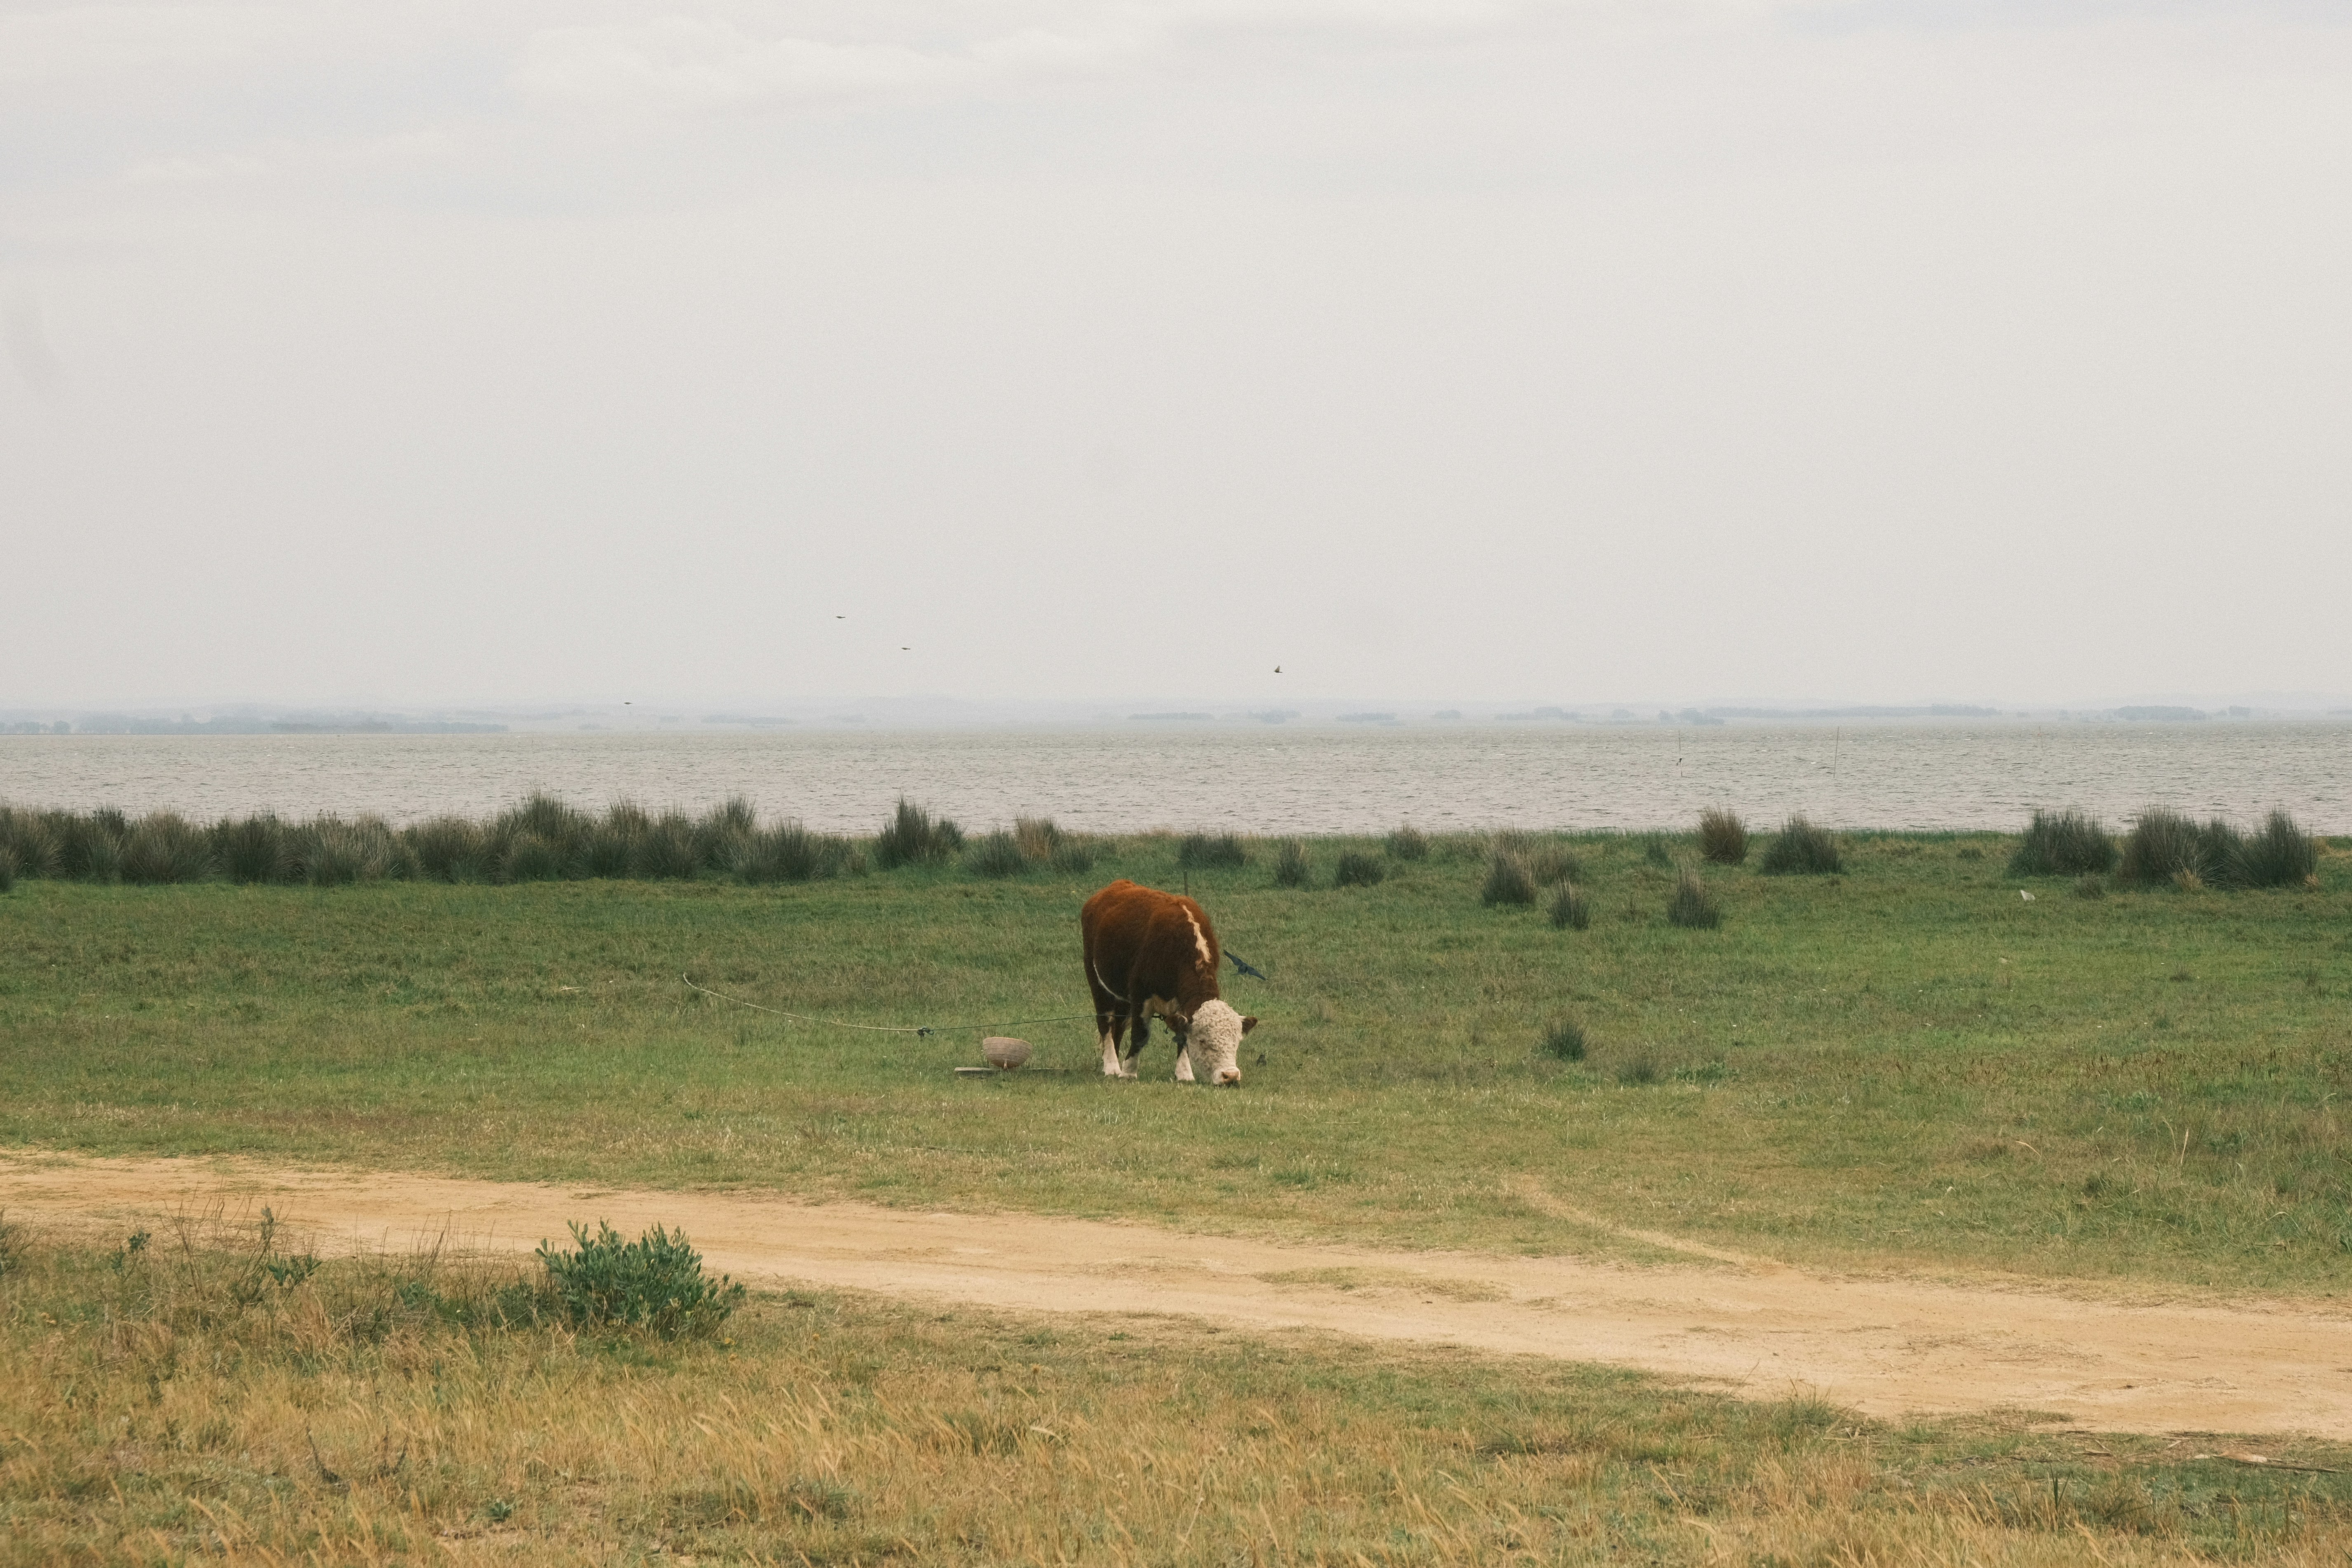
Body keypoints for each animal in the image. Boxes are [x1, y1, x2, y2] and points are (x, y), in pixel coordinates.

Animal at [1081, 879, 1257, 1085]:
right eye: (1203, 1041)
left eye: (1237, 1042)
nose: (1230, 1076)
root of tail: (1117, 885)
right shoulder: (1140, 994)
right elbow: (1140, 1035)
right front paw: (1129, 1072)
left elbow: (1182, 1037)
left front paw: (1184, 1073)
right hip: (1098, 984)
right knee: (1106, 1023)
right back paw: (1112, 1066)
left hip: (1122, 997)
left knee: (1119, 1025)